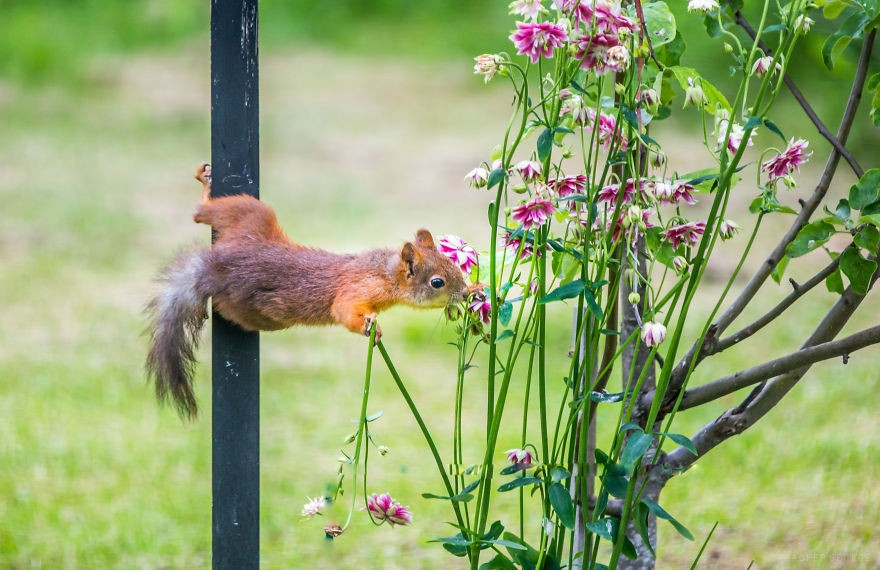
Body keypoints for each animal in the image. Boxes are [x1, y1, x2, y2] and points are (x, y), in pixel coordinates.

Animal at [147, 163, 470, 418]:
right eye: (437, 282)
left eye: (454, 266)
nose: (467, 294)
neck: (385, 272)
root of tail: (219, 266)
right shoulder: (358, 288)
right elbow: (344, 310)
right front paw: (372, 328)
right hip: (255, 300)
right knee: (198, 213)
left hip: (250, 217)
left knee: (204, 214)